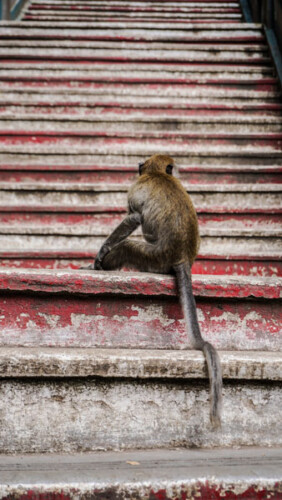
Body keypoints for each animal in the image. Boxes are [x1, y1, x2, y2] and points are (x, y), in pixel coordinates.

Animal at [91, 154, 221, 428]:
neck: (160, 174)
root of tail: (183, 257)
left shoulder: (136, 190)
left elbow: (133, 217)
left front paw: (102, 251)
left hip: (154, 257)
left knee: (128, 245)